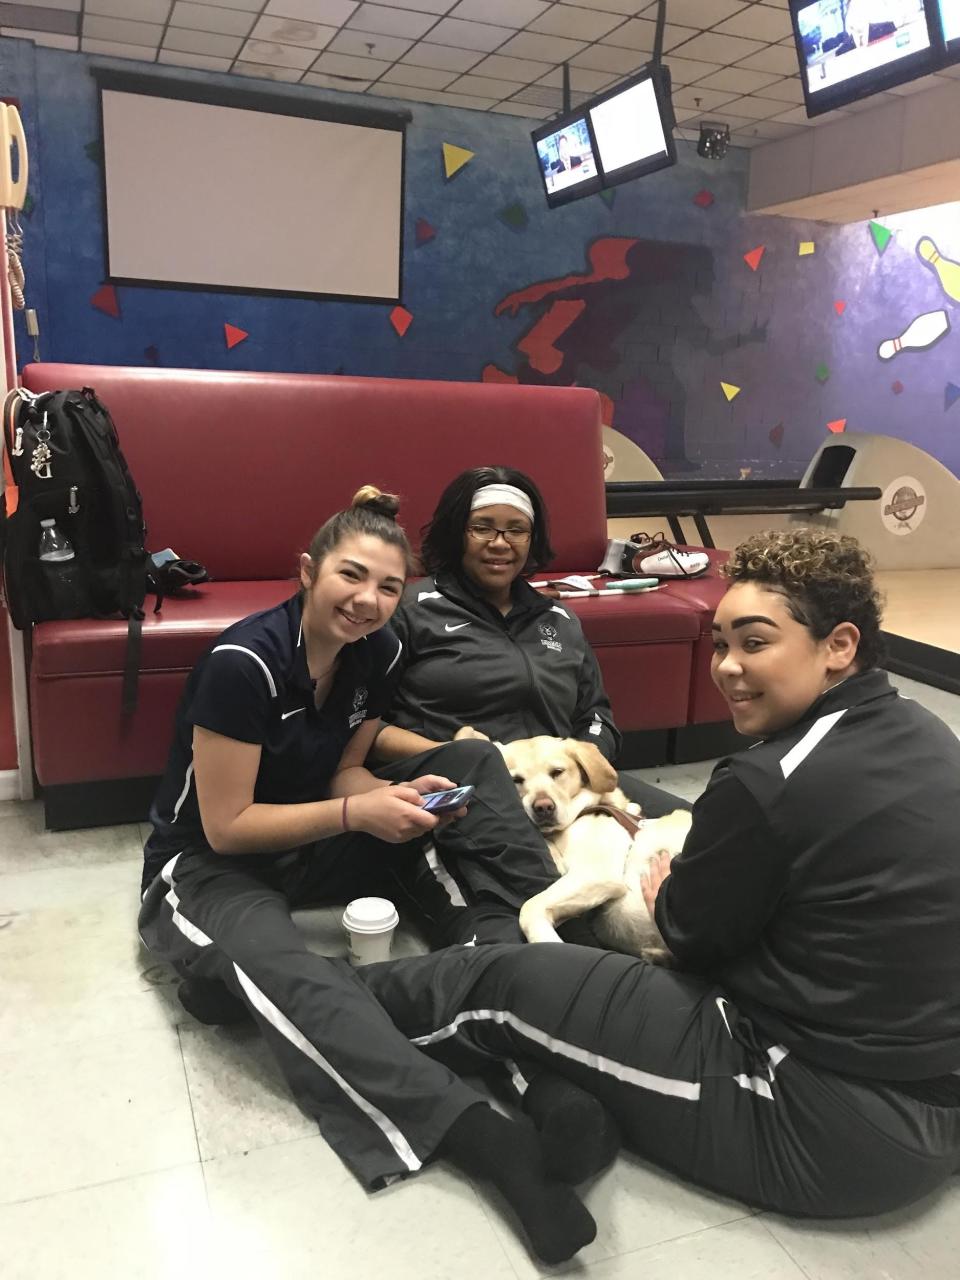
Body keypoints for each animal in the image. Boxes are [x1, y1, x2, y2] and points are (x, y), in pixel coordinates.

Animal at [455, 732, 691, 962]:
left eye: (557, 772)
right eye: (516, 780)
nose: (543, 808)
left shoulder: (594, 873)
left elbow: (530, 907)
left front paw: (549, 943)